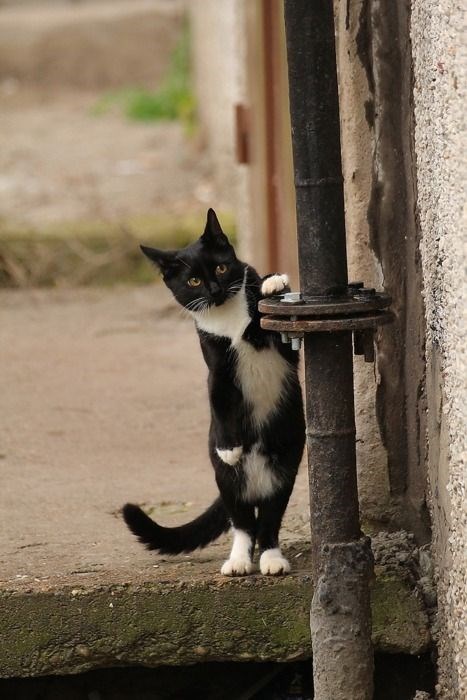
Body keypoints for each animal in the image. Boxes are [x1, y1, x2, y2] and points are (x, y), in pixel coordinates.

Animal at [123, 208, 308, 576]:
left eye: (221, 268)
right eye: (193, 281)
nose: (214, 288)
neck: (228, 318)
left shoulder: (284, 346)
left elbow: (274, 312)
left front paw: (273, 282)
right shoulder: (217, 369)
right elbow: (219, 400)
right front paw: (228, 447)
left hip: (286, 462)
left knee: (269, 519)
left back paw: (271, 559)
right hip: (227, 480)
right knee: (242, 521)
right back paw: (238, 561)